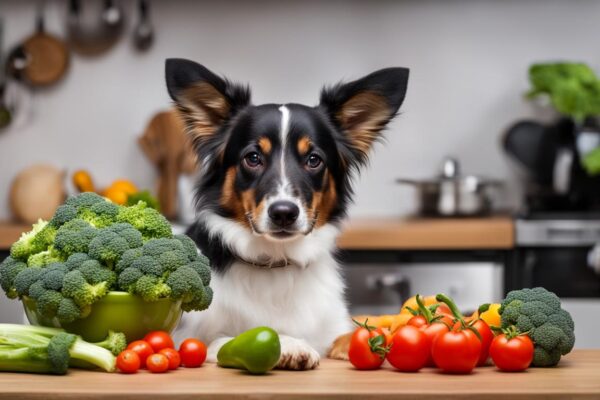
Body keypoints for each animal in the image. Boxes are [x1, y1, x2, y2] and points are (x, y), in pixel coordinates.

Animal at [166, 57, 410, 370]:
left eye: (314, 160)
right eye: (253, 158)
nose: (284, 213)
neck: (277, 263)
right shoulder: (190, 337)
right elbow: (228, 339)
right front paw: (291, 344)